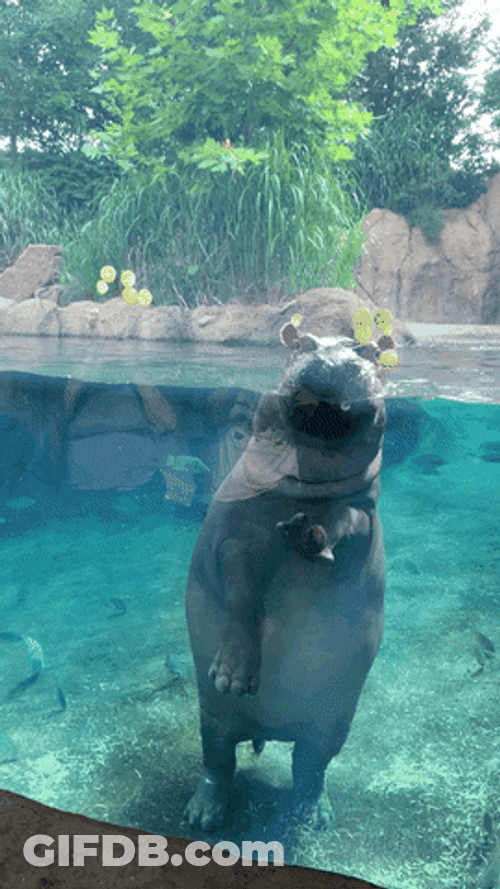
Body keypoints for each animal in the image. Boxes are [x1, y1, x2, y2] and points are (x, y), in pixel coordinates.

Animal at [184, 320, 392, 830]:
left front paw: (311, 534)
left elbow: (346, 525)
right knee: (217, 761)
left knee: (310, 765)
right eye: (300, 343)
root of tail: (270, 728)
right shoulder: (235, 536)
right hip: (213, 716)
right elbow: (241, 592)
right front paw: (234, 675)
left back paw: (314, 813)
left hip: (333, 723)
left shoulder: (362, 512)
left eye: (369, 351)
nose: (335, 358)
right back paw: (202, 815)